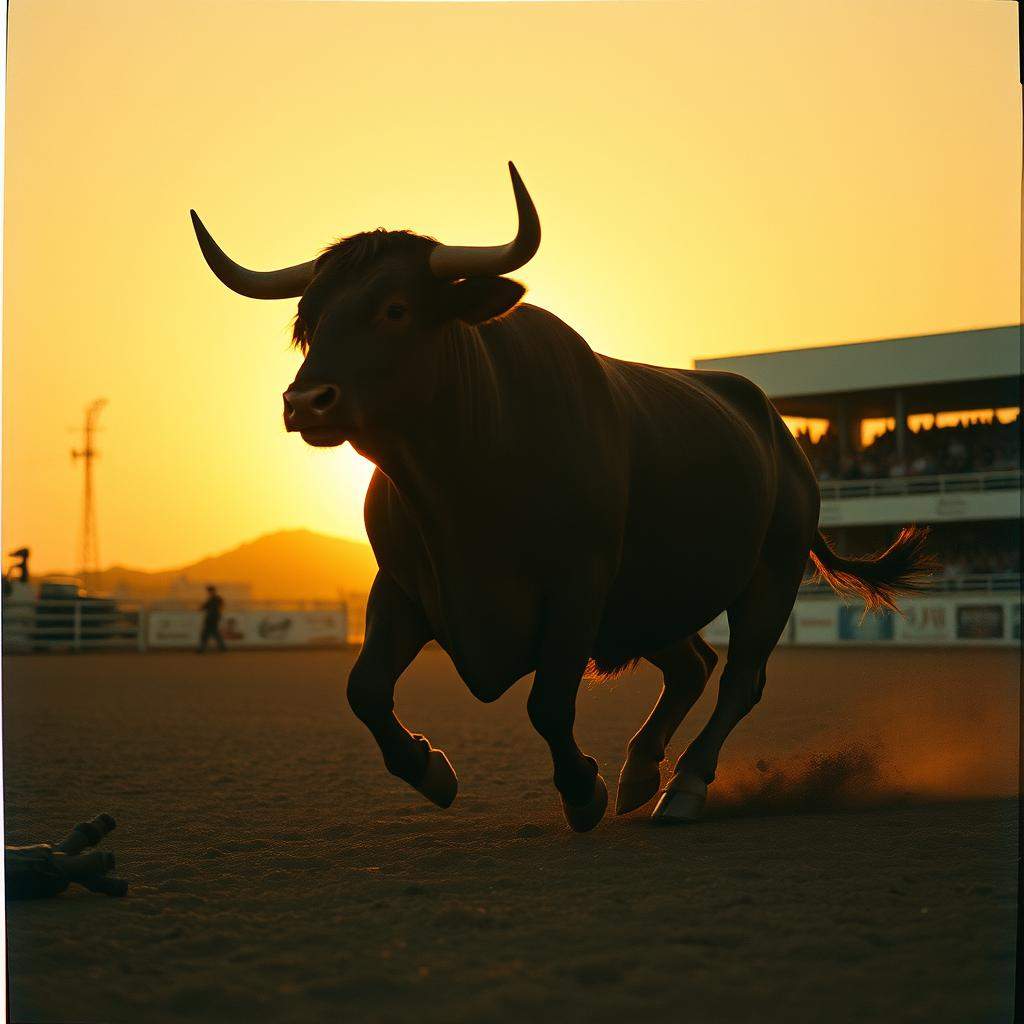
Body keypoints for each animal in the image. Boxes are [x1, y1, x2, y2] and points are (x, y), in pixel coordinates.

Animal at [191, 163, 932, 831]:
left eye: (395, 309)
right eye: (307, 320)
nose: (305, 402)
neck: (464, 483)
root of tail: (778, 430)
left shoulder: (579, 587)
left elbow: (547, 704)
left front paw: (583, 792)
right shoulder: (402, 587)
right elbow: (365, 690)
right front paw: (432, 770)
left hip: (769, 575)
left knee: (739, 680)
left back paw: (683, 787)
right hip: (649, 600)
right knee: (692, 665)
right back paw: (641, 771)